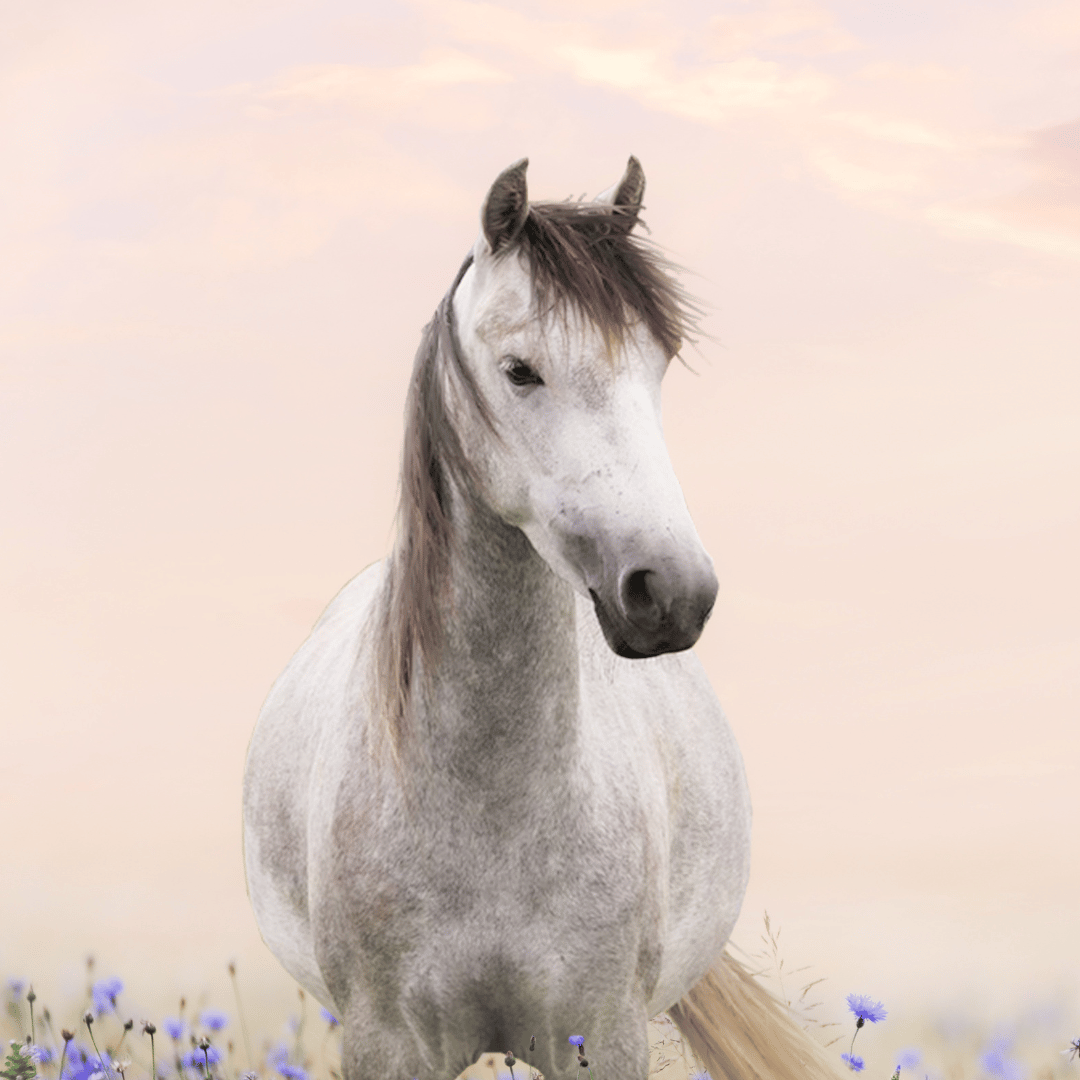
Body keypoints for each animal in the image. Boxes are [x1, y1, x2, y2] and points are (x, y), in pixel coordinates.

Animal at [245, 154, 842, 1080]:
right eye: (521, 370)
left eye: (659, 361)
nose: (672, 592)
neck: (490, 804)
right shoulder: (387, 1042)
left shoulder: (602, 1033)